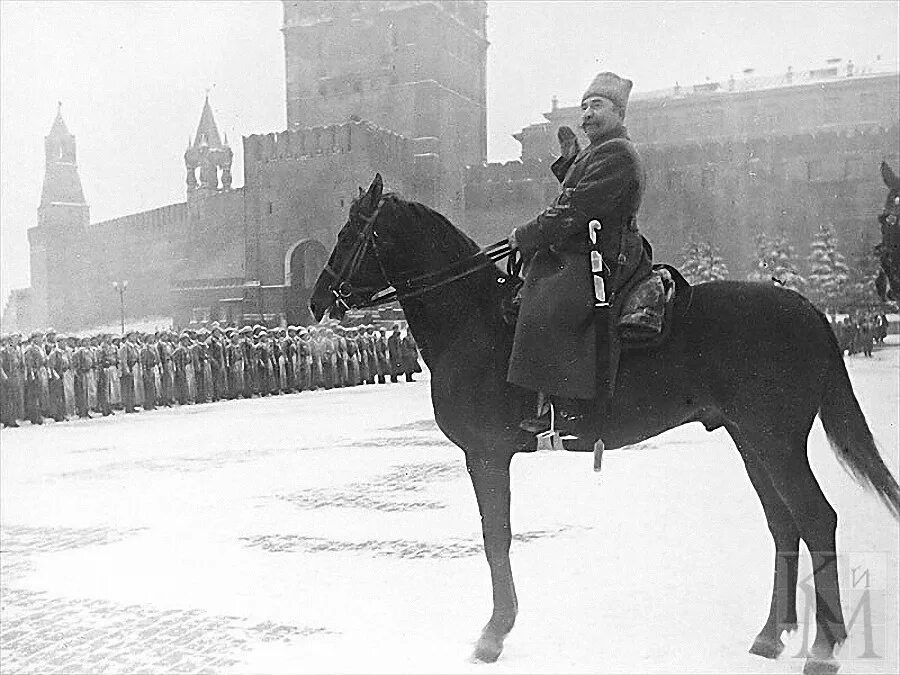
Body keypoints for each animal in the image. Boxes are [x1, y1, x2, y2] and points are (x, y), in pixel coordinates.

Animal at [310, 176, 900, 675]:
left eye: (350, 233)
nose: (316, 300)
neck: (472, 320)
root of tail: (806, 307)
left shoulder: (486, 454)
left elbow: (496, 536)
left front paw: (494, 633)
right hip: (751, 441)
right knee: (784, 525)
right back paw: (771, 635)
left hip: (776, 442)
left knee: (816, 519)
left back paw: (824, 647)